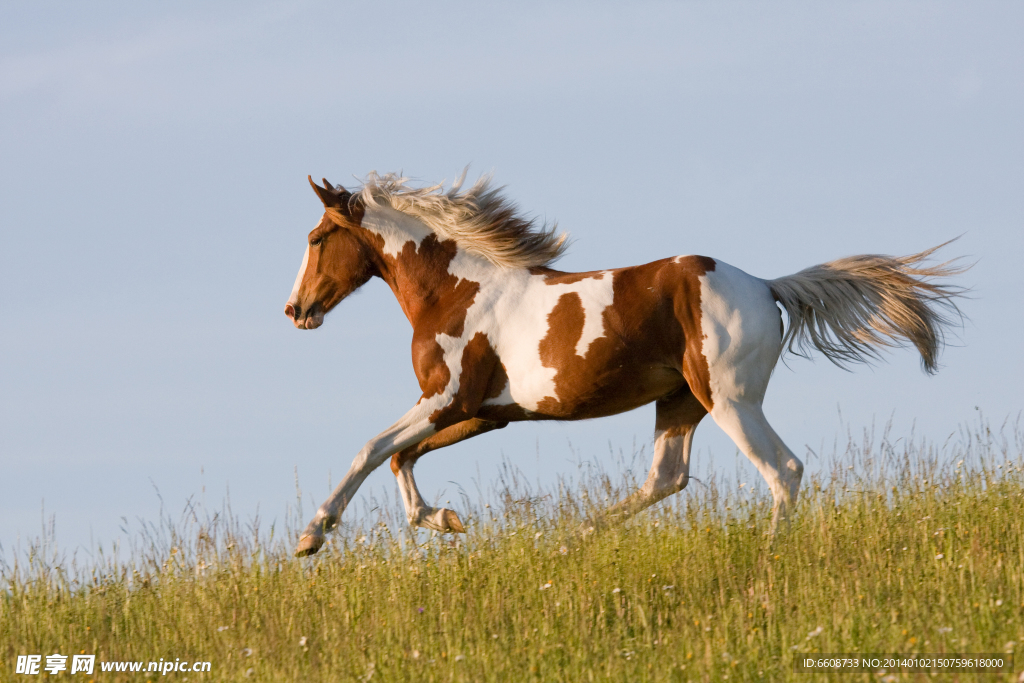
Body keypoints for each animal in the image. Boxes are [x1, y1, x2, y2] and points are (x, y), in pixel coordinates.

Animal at [284, 169, 962, 557]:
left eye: (316, 239)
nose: (295, 309)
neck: (458, 291)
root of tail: (767, 287)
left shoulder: (446, 398)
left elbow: (372, 449)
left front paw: (312, 535)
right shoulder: (485, 412)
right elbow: (402, 456)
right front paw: (446, 520)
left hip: (730, 400)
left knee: (783, 469)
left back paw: (770, 557)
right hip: (680, 401)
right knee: (666, 478)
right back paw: (569, 539)